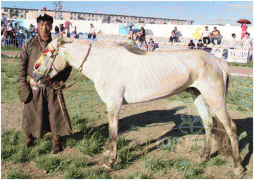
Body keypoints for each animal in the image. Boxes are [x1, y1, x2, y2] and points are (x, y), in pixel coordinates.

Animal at [32, 37, 245, 175]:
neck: (104, 63)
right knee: (208, 124)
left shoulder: (114, 105)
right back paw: (204, 156)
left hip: (215, 99)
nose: (34, 76)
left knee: (231, 128)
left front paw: (109, 163)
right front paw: (108, 155)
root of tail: (219, 62)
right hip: (198, 95)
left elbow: (113, 133)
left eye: (47, 53)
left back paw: (238, 167)